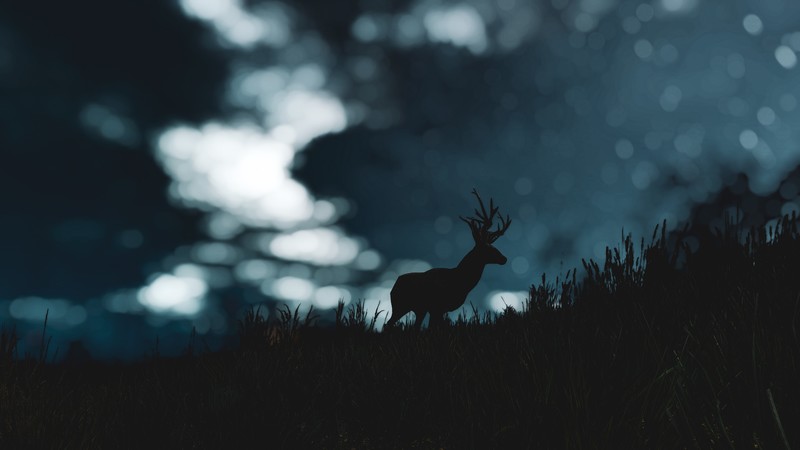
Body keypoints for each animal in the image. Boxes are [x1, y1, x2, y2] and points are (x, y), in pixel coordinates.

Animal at [386, 189, 512, 329]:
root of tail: (393, 287)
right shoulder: (437, 307)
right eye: (488, 249)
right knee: (388, 324)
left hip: (418, 310)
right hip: (400, 305)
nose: (504, 258)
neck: (458, 280)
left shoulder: (439, 309)